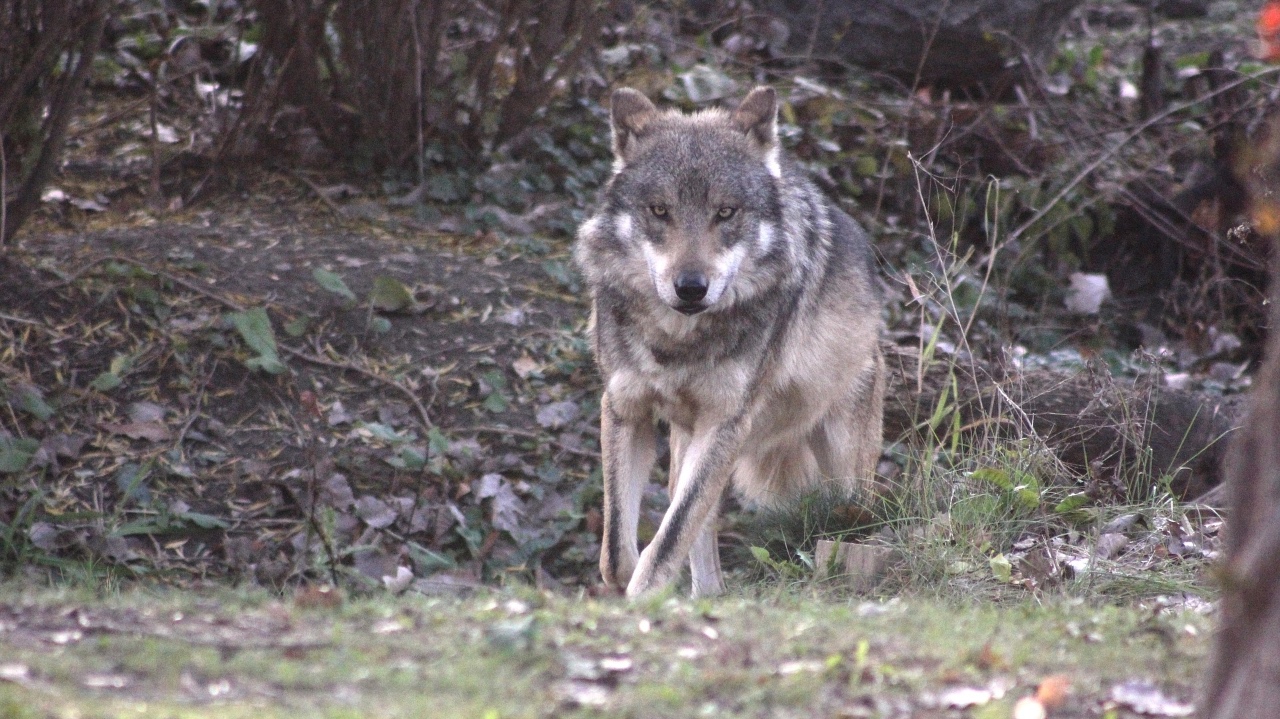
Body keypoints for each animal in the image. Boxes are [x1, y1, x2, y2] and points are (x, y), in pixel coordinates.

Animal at [574, 86, 885, 598]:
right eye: (660, 210)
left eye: (725, 212)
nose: (691, 288)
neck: (678, 340)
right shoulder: (624, 407)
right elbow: (617, 551)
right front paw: (629, 589)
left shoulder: (725, 423)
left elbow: (670, 535)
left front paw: (643, 596)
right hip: (688, 444)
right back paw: (706, 596)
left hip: (842, 471)